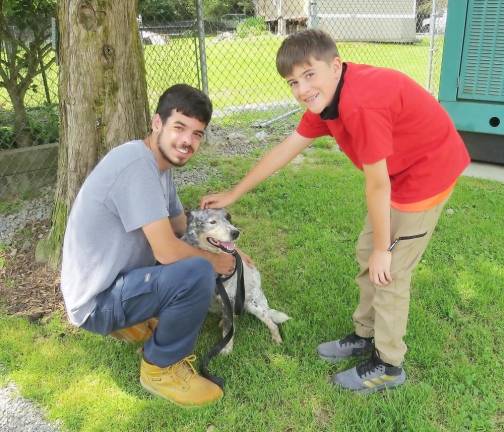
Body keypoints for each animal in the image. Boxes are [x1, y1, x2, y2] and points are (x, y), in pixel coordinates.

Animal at [183, 209, 290, 354]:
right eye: (212, 221)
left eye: (228, 218)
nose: (235, 232)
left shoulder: (229, 298)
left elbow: (228, 328)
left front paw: (227, 349)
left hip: (253, 305)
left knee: (271, 322)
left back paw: (276, 339)